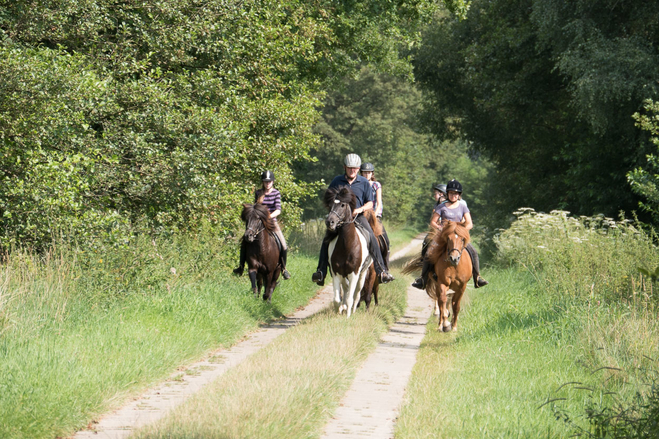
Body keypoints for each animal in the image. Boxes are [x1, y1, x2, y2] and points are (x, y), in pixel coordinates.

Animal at [324, 187, 376, 318]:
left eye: (342, 205)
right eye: (330, 204)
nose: (330, 222)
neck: (346, 247)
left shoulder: (354, 274)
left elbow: (350, 299)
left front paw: (348, 316)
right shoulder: (336, 273)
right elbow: (337, 299)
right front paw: (339, 311)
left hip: (363, 274)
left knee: (356, 294)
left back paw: (352, 311)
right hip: (343, 275)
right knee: (346, 289)